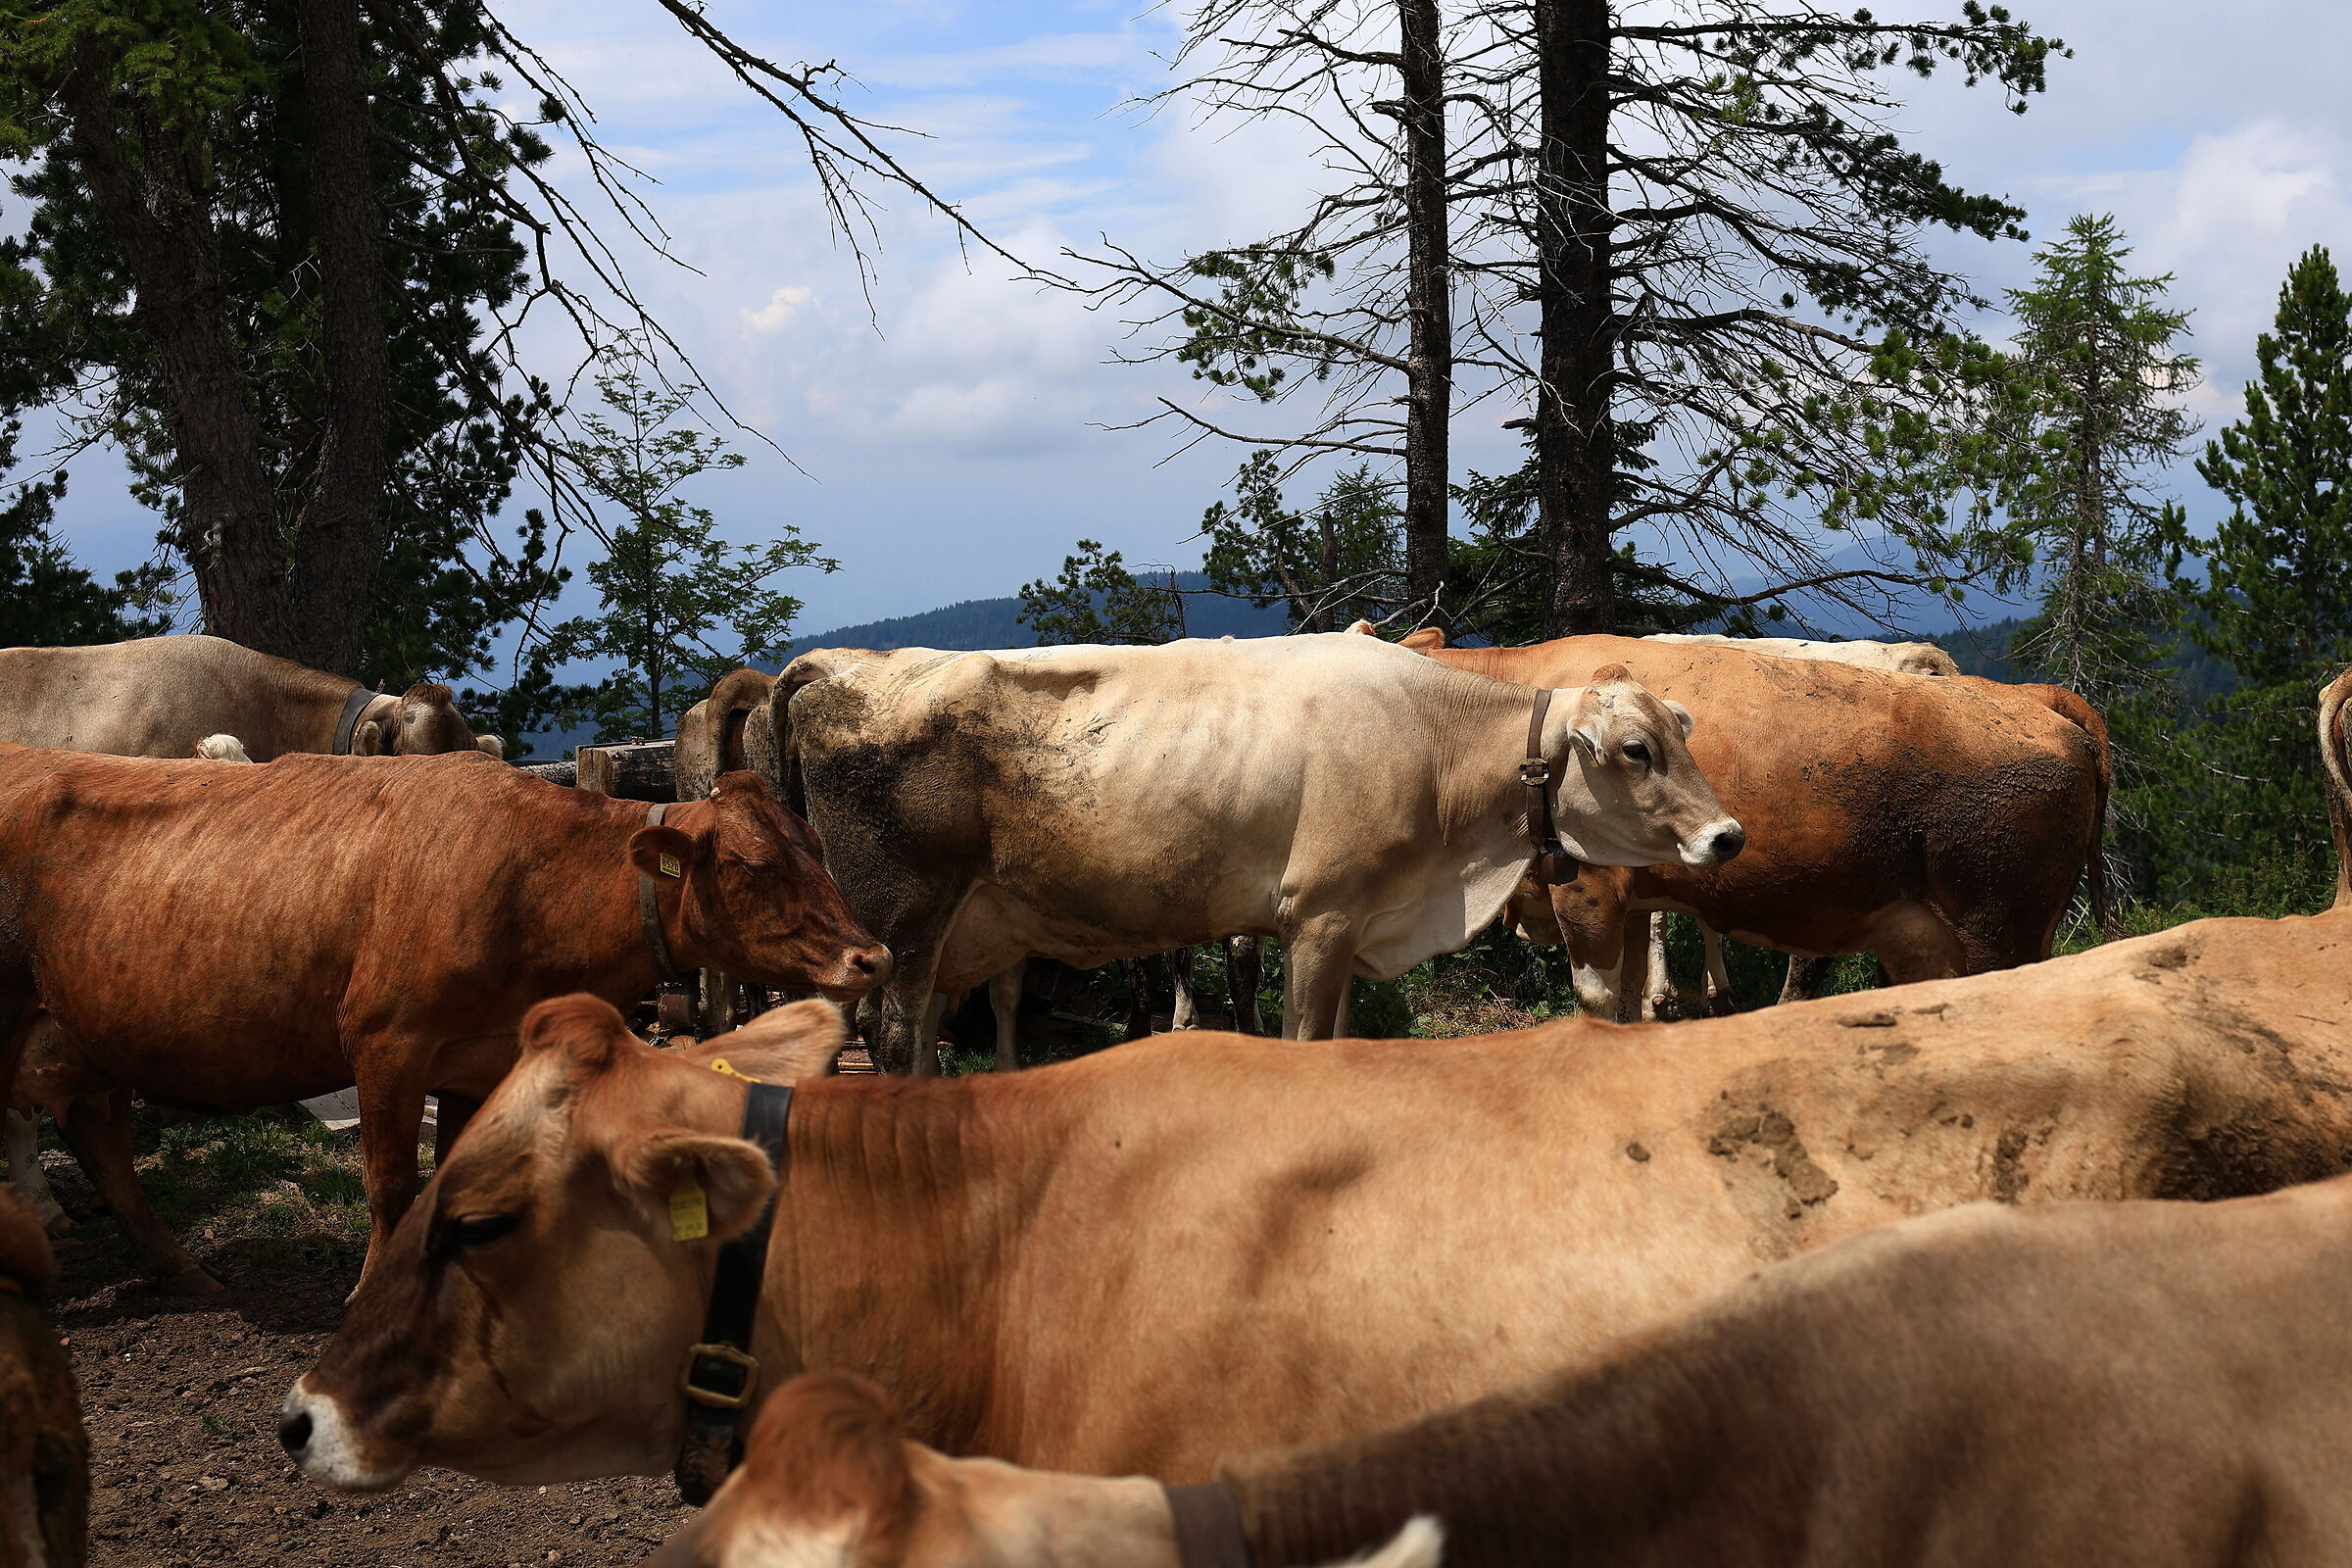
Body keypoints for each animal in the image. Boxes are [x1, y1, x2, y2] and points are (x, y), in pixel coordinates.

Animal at [0, 751, 885, 1293]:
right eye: (753, 865)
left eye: (814, 843)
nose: (871, 956)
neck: (531, 882)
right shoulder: (388, 1043)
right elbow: (391, 1182)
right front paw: (372, 1290)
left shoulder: (478, 1056)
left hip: (86, 1038)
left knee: (103, 1145)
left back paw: (185, 1272)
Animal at [771, 633, 1742, 1069]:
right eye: (1635, 751)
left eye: (1681, 736)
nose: (1727, 834)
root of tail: (843, 664)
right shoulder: (1318, 915)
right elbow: (1305, 1040)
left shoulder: (1357, 921)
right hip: (904, 921)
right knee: (894, 1037)